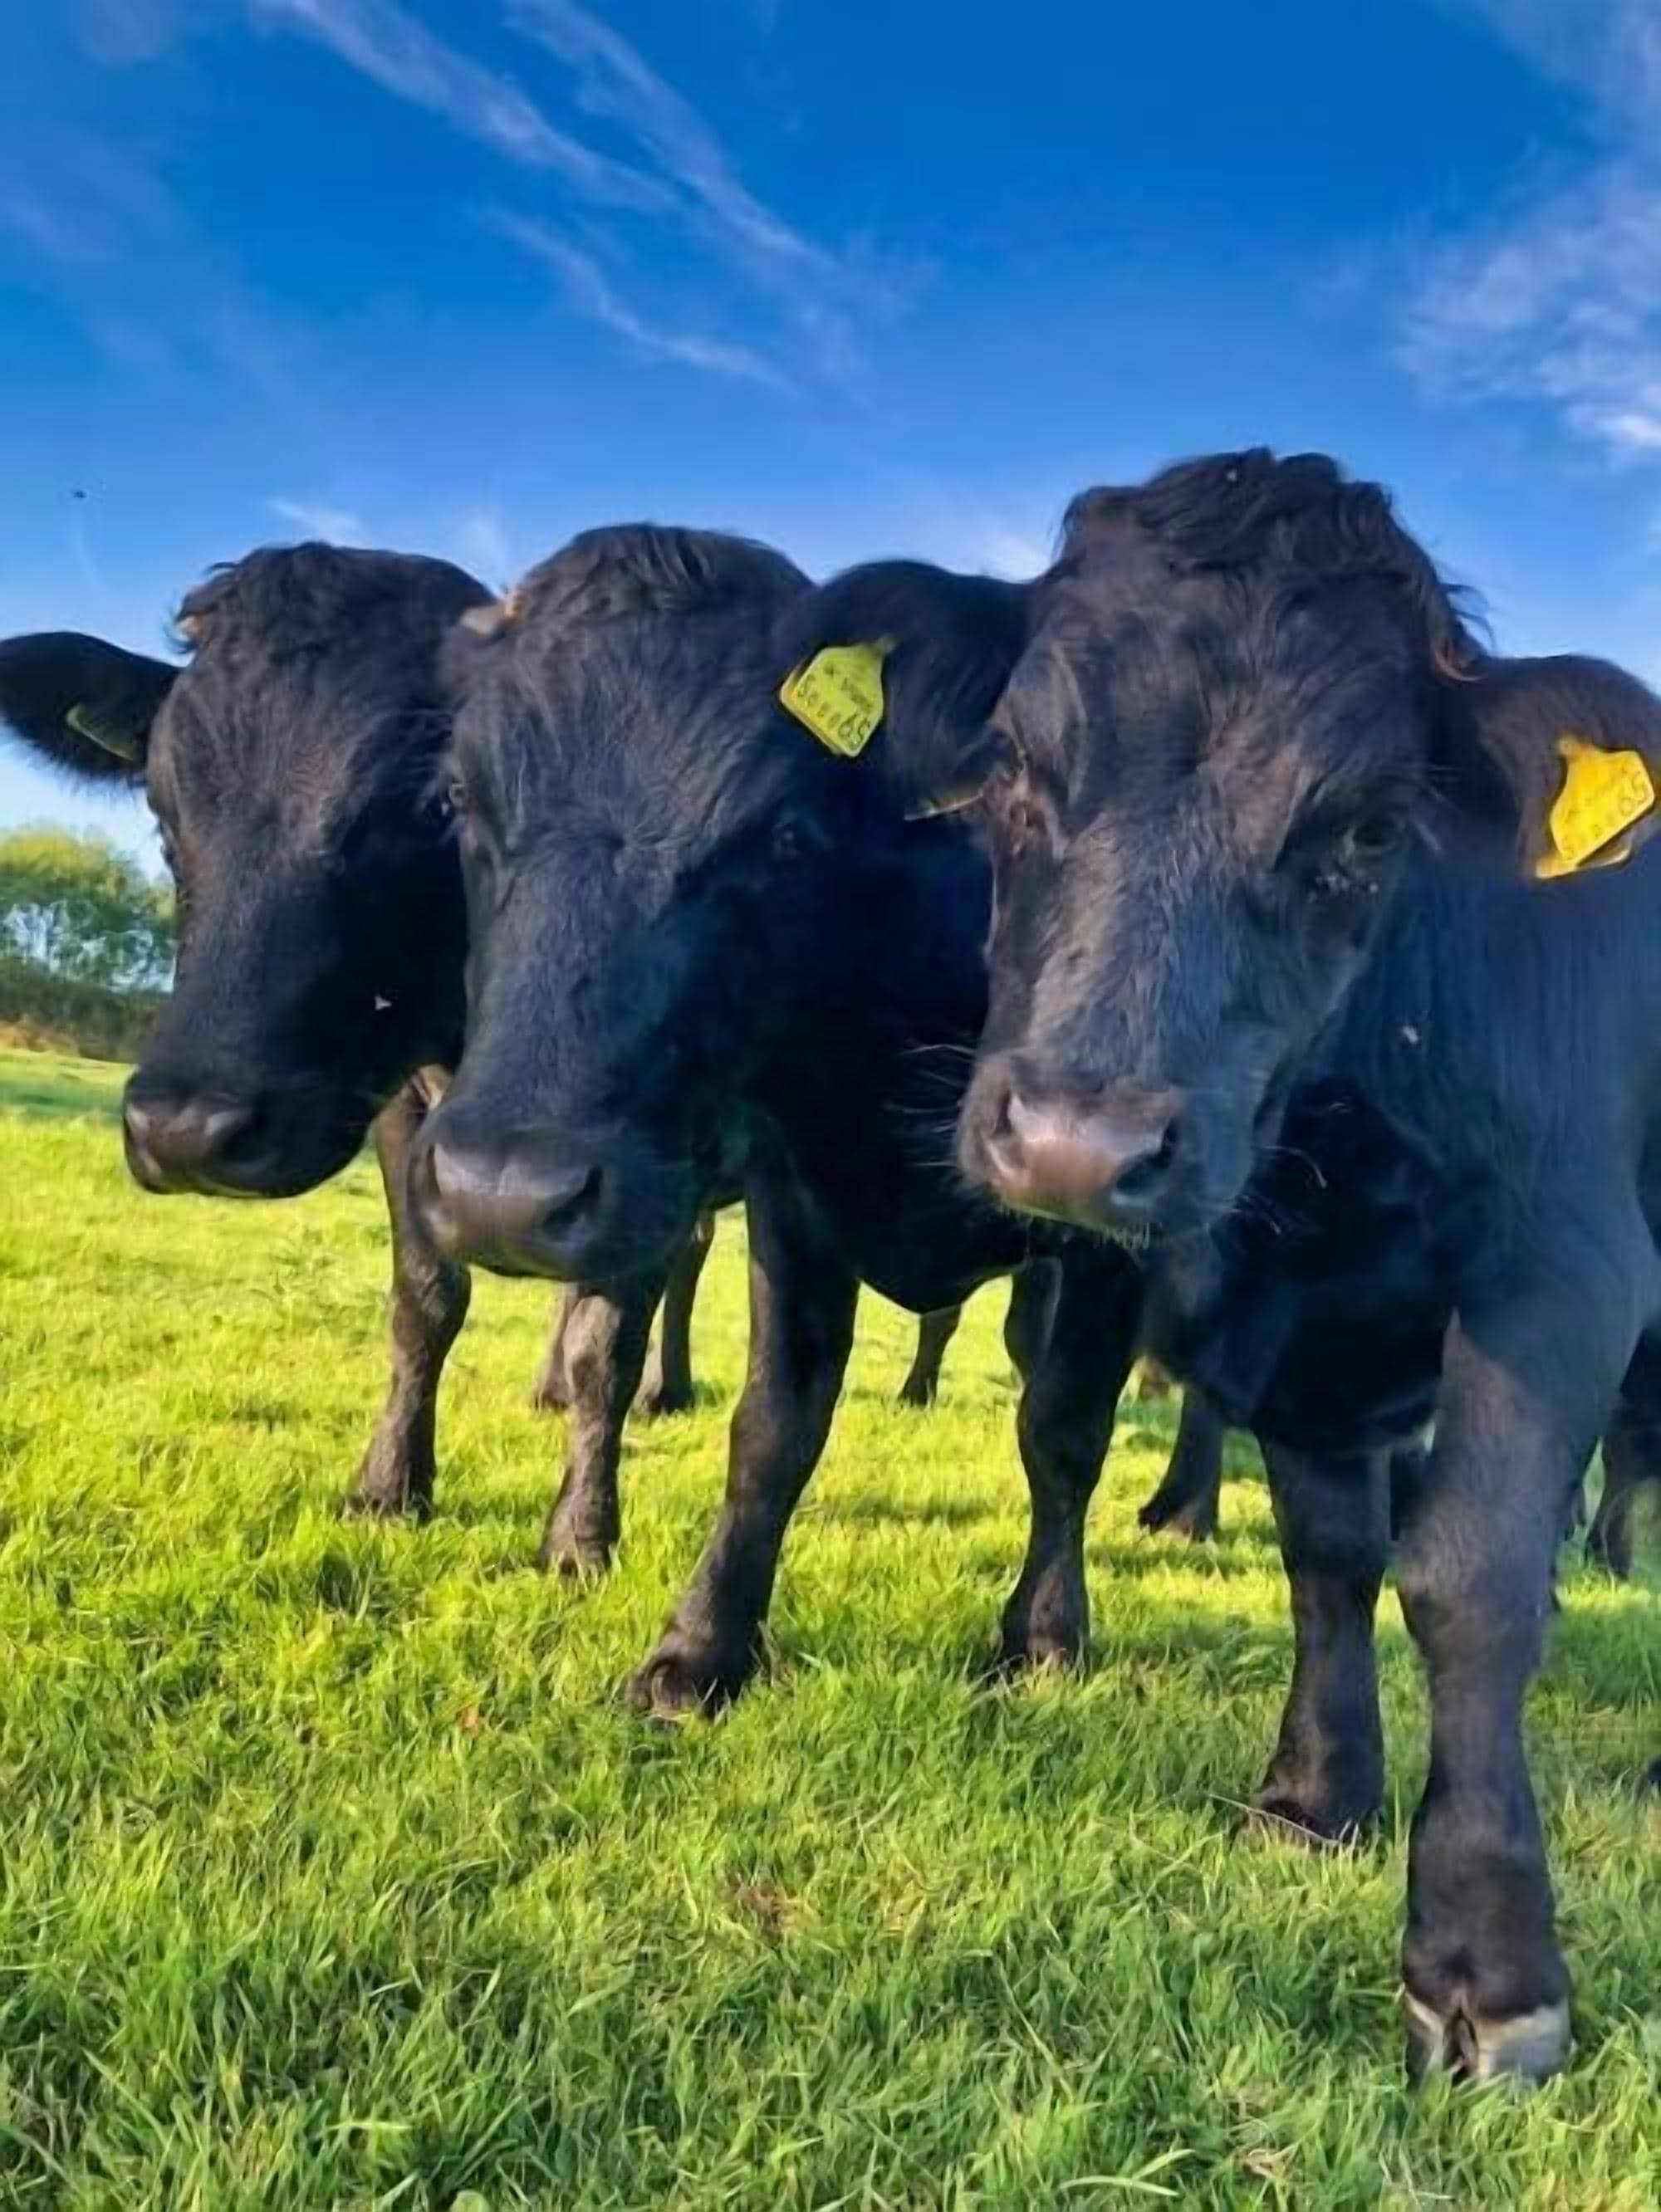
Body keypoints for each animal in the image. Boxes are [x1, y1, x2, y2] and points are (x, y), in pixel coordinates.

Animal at [403, 523, 1157, 1715]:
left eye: (787, 835)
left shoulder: (1119, 1231)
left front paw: (1042, 1637)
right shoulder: (793, 1195)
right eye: (460, 802)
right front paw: (701, 1648)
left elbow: (1065, 1426)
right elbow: (773, 1427)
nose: (501, 1193)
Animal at [781, 449, 1661, 2083]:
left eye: (1370, 827)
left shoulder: (1564, 1266)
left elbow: (1471, 1572)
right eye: (1013, 769)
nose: (1078, 1143)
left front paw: (1488, 1963)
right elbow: (1336, 1553)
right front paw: (1320, 1794)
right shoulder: (1305, 1326)